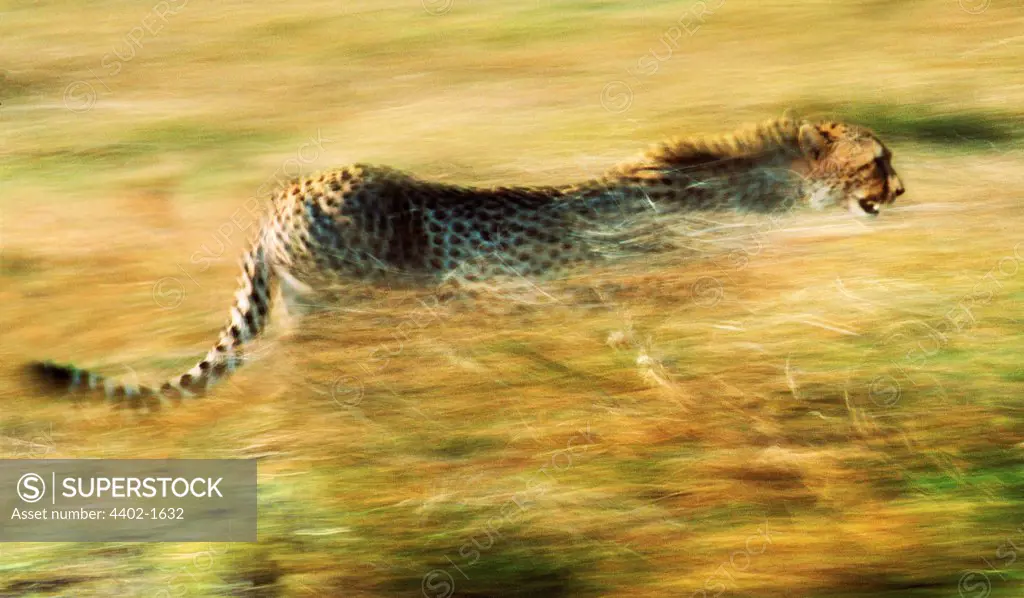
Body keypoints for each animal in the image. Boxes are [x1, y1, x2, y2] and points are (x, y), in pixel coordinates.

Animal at [24, 114, 905, 409]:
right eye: (878, 160)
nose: (902, 190)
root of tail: (284, 192)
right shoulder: (634, 293)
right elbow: (666, 354)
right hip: (362, 306)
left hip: (325, 307)